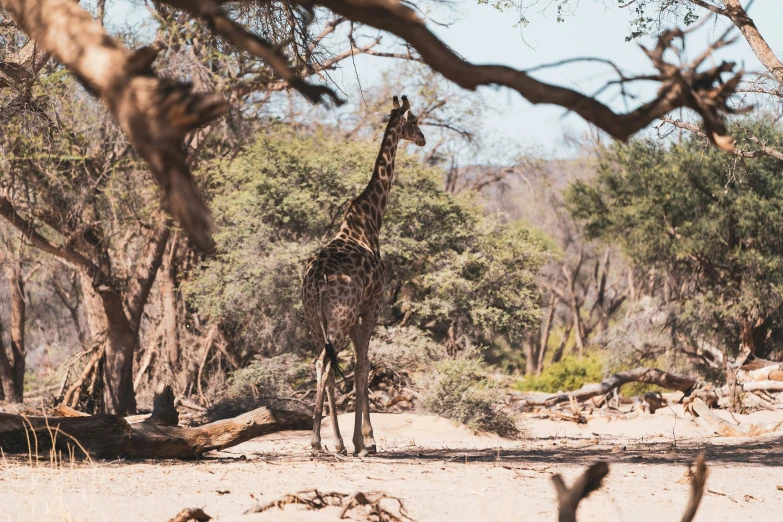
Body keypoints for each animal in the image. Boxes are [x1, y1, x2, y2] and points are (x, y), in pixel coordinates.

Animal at [304, 95, 428, 452]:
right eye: (414, 120)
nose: (423, 139)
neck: (371, 220)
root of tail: (317, 281)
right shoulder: (372, 304)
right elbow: (364, 365)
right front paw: (367, 440)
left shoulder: (360, 311)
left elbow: (360, 365)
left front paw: (360, 439)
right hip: (339, 316)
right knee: (326, 364)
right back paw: (322, 441)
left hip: (313, 318)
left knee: (320, 363)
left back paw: (330, 441)